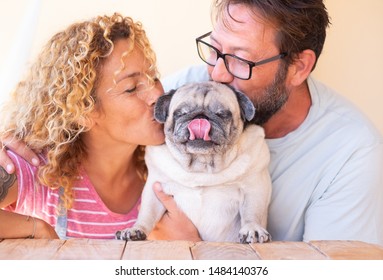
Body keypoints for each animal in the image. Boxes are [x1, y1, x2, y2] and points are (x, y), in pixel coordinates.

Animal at [117, 81, 272, 243]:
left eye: (222, 114)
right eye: (181, 113)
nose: (200, 117)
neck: (201, 165)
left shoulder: (254, 188)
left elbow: (252, 212)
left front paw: (252, 229)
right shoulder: (154, 188)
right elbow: (147, 213)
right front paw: (136, 229)